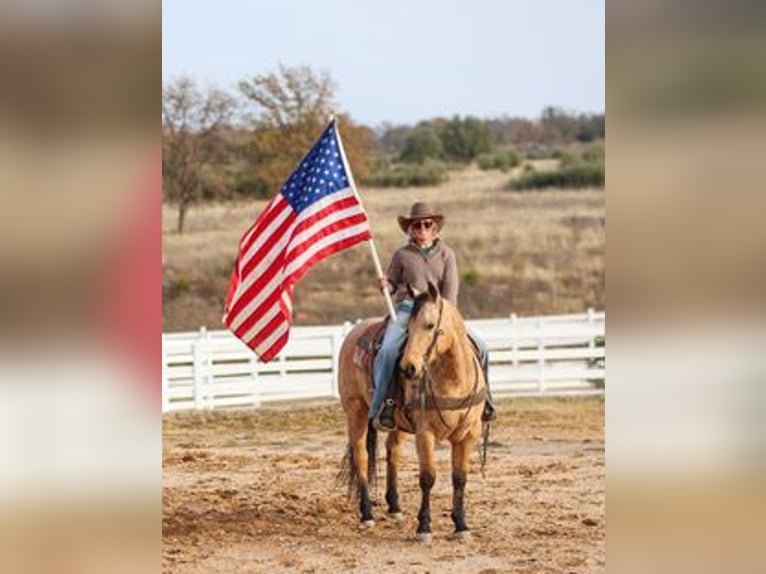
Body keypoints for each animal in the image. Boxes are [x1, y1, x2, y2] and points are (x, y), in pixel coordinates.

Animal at [337, 282, 488, 542]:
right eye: (408, 327)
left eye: (429, 325)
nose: (408, 367)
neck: (454, 379)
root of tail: (355, 331)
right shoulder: (425, 433)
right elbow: (428, 477)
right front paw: (424, 527)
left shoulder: (469, 433)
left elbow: (460, 478)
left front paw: (461, 525)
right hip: (355, 411)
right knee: (361, 457)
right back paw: (367, 514)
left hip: (396, 423)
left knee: (392, 451)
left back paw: (394, 507)